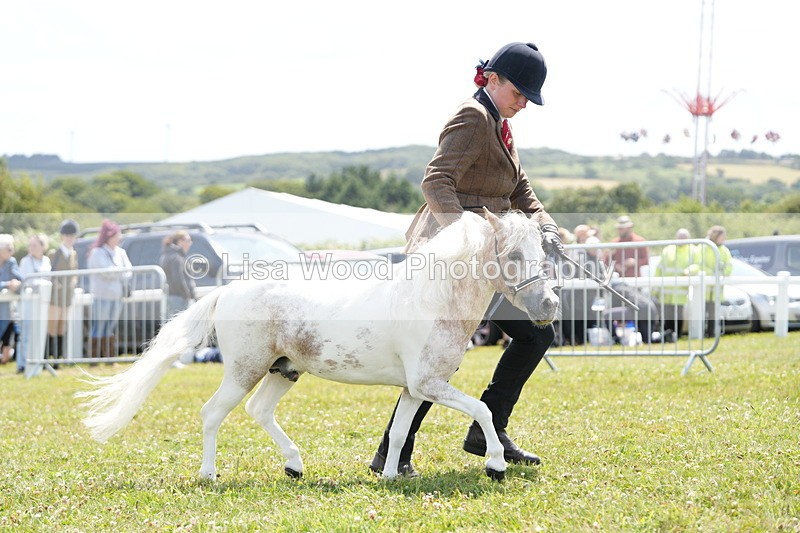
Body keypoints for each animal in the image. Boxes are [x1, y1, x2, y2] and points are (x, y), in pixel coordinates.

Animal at [77, 209, 559, 481]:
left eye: (544, 253)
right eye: (513, 256)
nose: (549, 305)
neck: (430, 299)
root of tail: (226, 291)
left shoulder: (415, 388)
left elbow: (400, 430)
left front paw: (390, 477)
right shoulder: (429, 384)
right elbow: (482, 410)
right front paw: (496, 465)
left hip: (284, 370)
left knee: (259, 411)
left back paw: (294, 465)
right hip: (245, 369)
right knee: (212, 413)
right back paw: (209, 474)